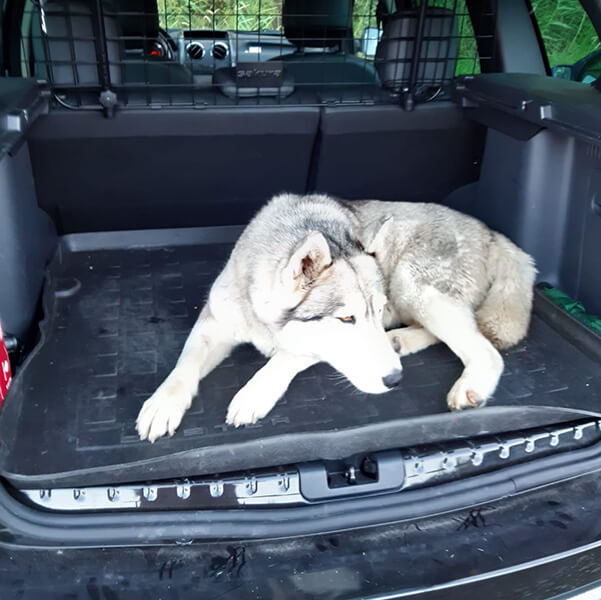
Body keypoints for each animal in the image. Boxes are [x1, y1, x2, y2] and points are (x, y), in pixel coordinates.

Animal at [136, 194, 536, 442]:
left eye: (376, 311)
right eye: (346, 320)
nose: (395, 380)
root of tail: (492, 233)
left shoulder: (309, 347)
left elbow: (283, 359)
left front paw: (254, 393)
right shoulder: (213, 321)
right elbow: (184, 366)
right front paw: (163, 404)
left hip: (412, 284)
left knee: (485, 350)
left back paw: (467, 385)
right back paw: (400, 340)